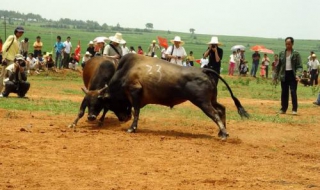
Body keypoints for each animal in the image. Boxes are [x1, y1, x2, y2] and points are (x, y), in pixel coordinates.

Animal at [104, 53, 249, 140]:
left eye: (110, 102)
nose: (123, 118)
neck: (126, 71)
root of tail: (203, 70)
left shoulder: (135, 92)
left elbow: (136, 112)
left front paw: (132, 128)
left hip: (202, 102)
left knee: (215, 113)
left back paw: (224, 133)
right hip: (211, 100)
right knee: (221, 108)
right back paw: (221, 132)